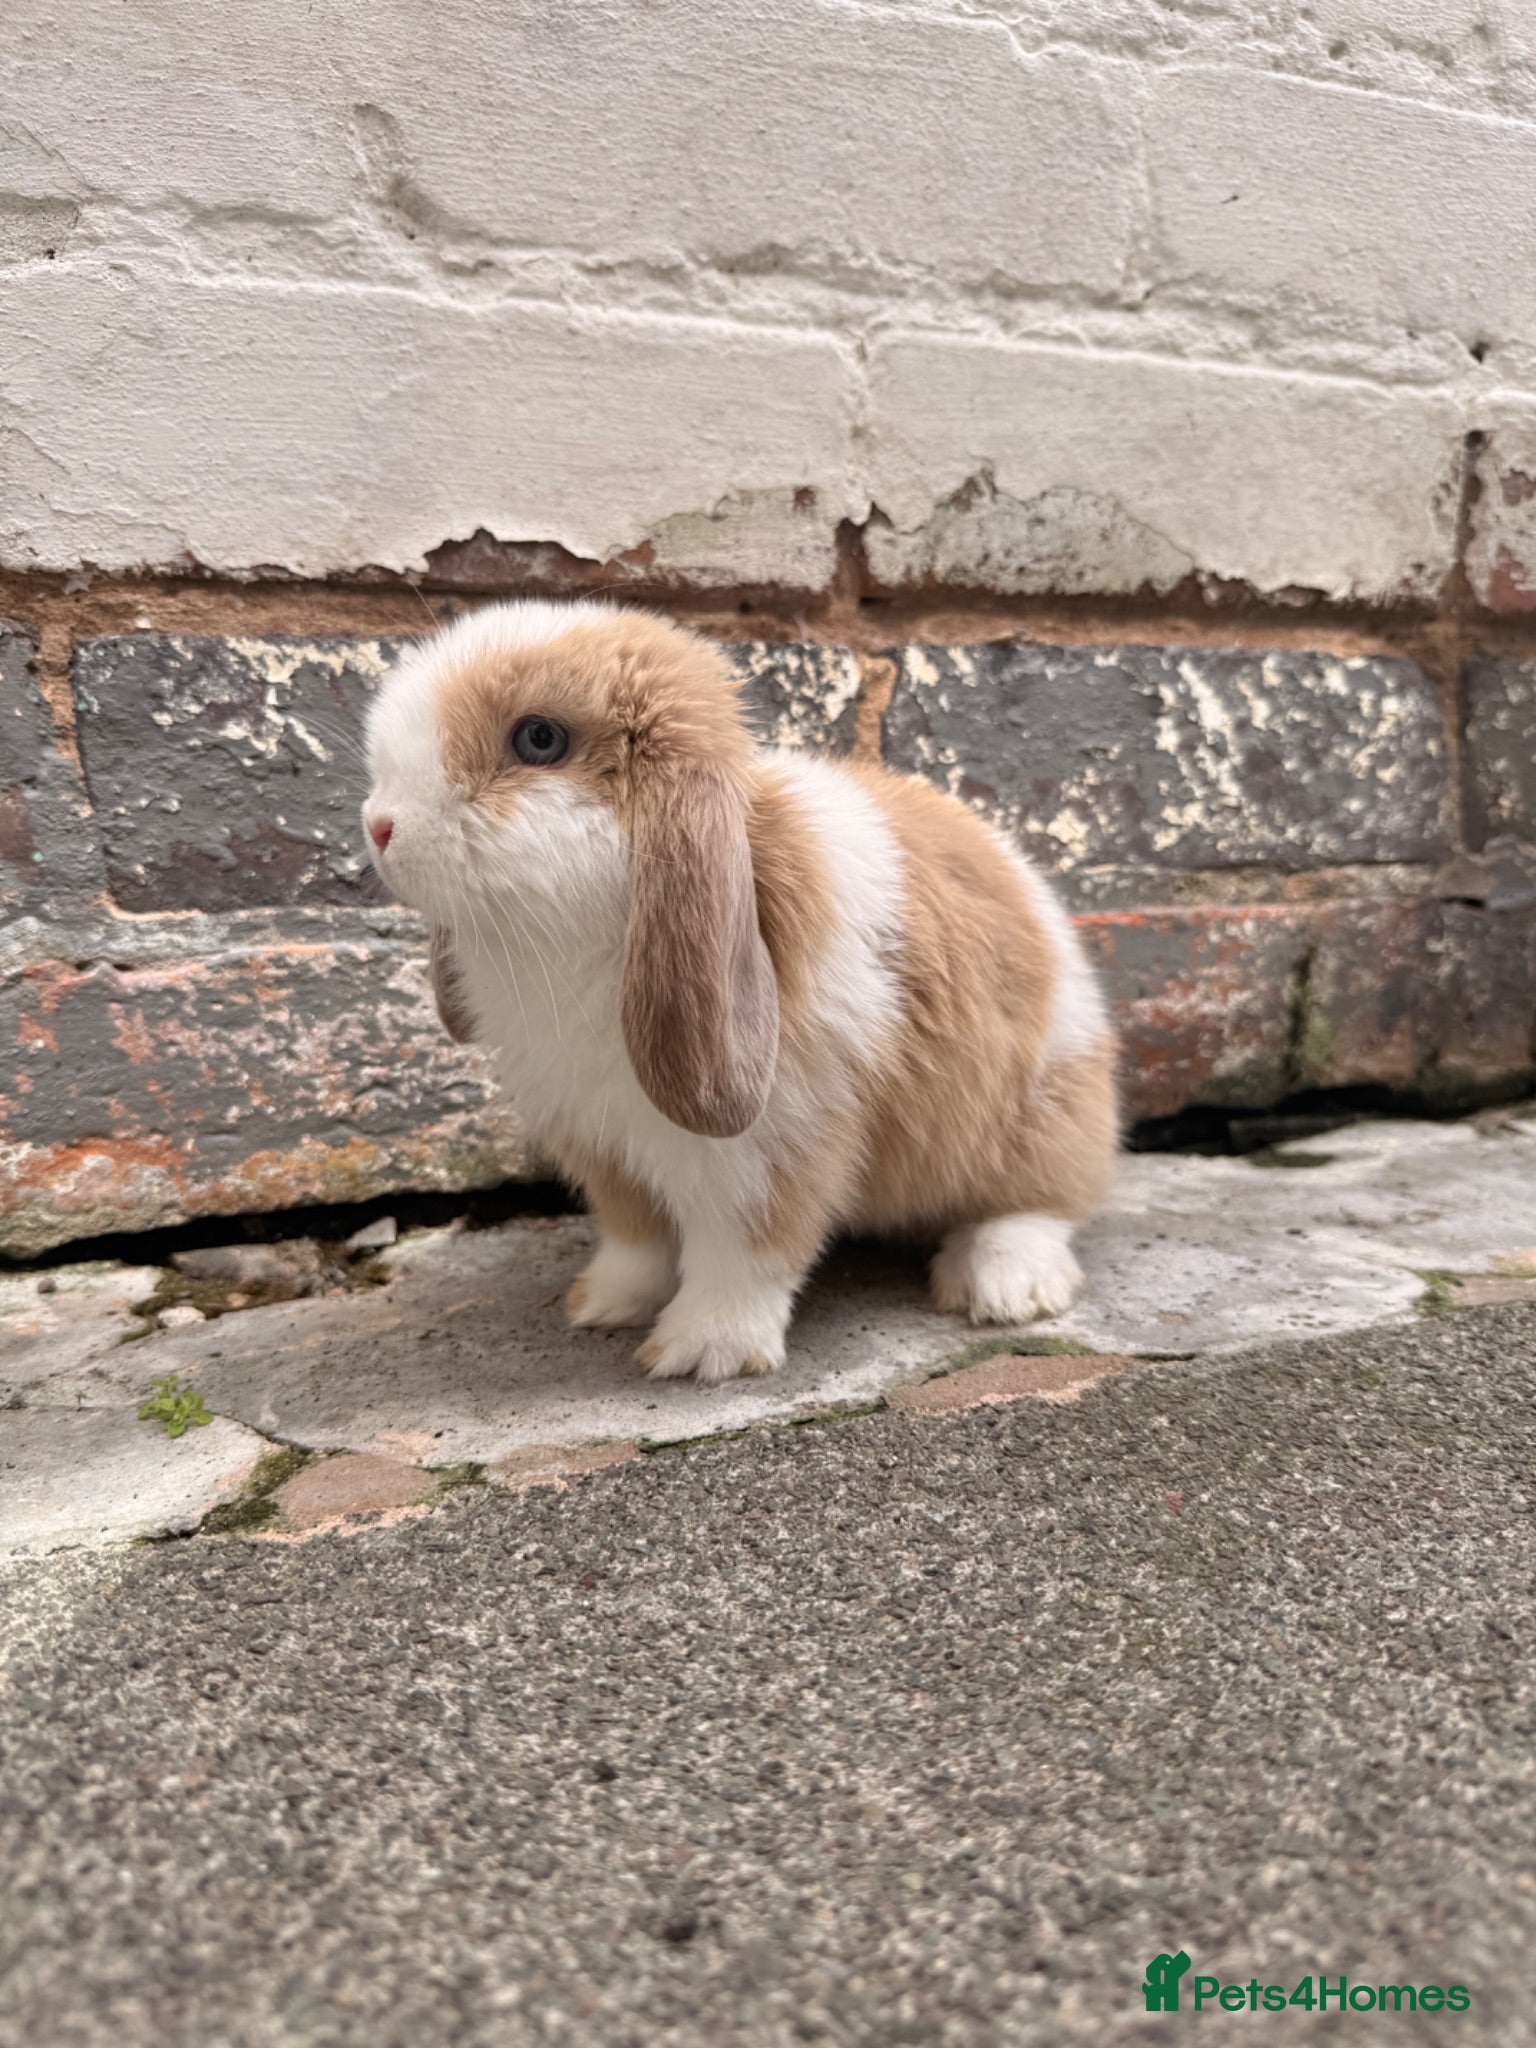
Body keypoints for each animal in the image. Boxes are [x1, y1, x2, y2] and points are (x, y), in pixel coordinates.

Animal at [363, 601, 1118, 1383]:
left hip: (1039, 1123)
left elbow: (745, 1258)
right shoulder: (606, 1151)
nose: (378, 827)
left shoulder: (771, 1154)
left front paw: (700, 1353)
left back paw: (1003, 1287)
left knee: (1043, 1206)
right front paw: (603, 1304)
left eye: (539, 738)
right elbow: (636, 1243)